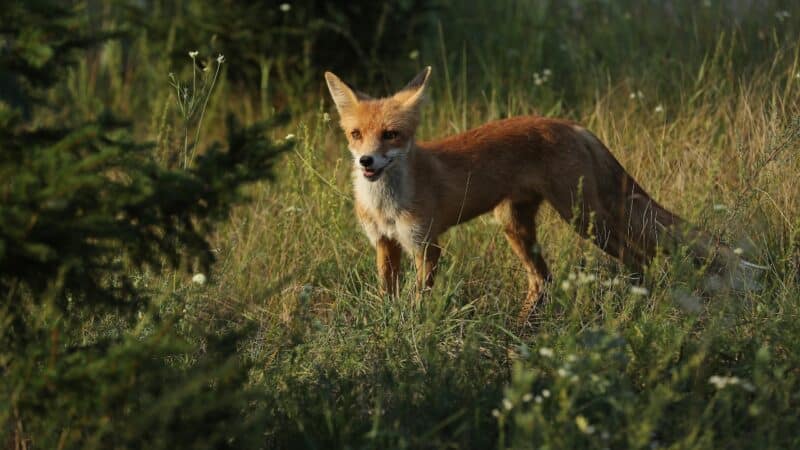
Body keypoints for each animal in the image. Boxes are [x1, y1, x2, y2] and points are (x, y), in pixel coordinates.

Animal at [324, 66, 763, 321]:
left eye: (391, 135)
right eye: (355, 134)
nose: (366, 161)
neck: (386, 207)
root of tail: (570, 125)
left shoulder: (425, 245)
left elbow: (417, 300)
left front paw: (412, 330)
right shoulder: (385, 244)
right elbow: (388, 296)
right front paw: (388, 329)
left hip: (586, 220)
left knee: (639, 258)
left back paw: (633, 306)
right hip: (515, 226)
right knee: (543, 281)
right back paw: (524, 331)